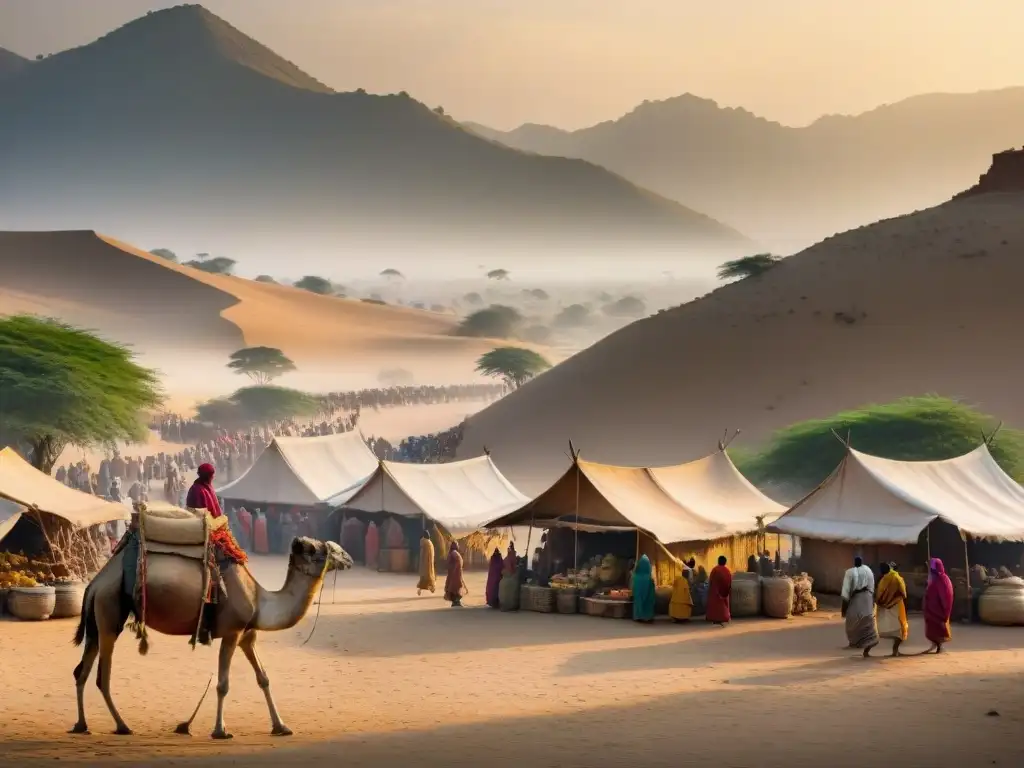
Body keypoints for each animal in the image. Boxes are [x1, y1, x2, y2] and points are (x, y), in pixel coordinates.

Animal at [70, 536, 354, 741]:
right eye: (317, 548)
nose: (349, 557)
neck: (259, 599)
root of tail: (95, 583)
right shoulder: (231, 632)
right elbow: (223, 684)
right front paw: (220, 731)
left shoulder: (246, 635)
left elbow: (263, 678)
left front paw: (281, 726)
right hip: (109, 612)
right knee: (102, 677)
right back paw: (122, 725)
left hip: (97, 620)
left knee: (81, 671)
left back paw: (82, 725)